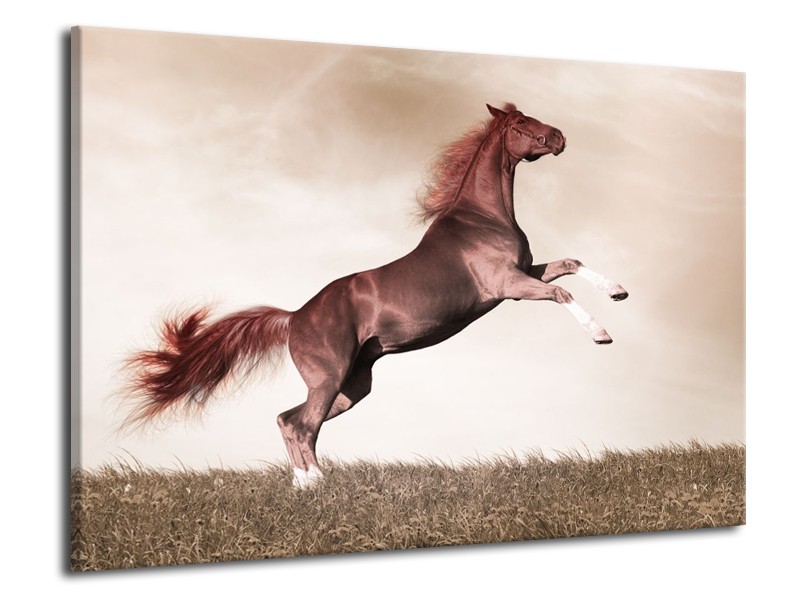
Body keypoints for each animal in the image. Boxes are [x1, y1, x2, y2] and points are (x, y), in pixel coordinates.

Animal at [124, 103, 628, 488]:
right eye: (522, 124)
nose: (560, 137)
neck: (483, 217)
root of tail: (294, 316)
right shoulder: (509, 285)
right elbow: (560, 292)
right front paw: (602, 334)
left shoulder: (524, 272)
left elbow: (572, 264)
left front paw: (619, 291)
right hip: (329, 378)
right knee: (301, 424)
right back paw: (316, 484)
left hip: (353, 386)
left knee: (289, 420)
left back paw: (303, 485)